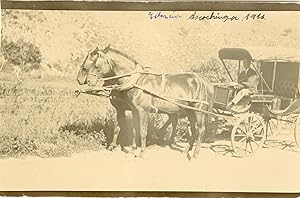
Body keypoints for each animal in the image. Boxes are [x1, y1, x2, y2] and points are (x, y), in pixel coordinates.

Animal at [77, 44, 213, 158]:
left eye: (96, 65)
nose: (87, 81)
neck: (136, 81)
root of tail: (204, 81)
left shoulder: (143, 111)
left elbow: (142, 131)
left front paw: (141, 152)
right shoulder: (133, 110)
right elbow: (133, 130)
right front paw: (131, 150)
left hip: (199, 110)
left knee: (201, 130)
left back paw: (195, 154)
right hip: (190, 111)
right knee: (192, 129)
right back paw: (185, 151)